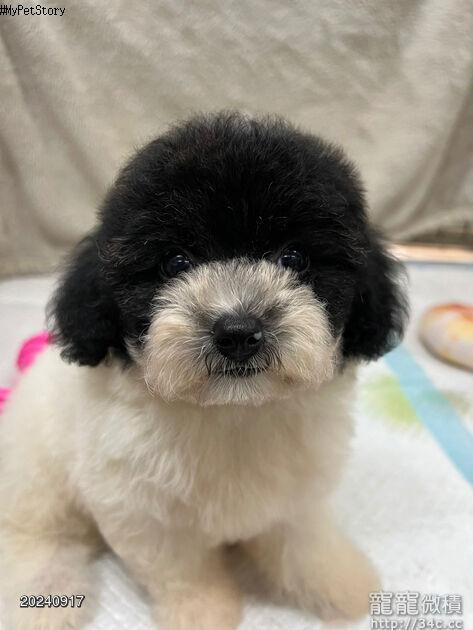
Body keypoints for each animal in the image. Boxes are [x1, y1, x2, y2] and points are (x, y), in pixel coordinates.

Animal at [0, 112, 407, 630]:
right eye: (176, 262)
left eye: (294, 258)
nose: (238, 331)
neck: (232, 411)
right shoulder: (142, 512)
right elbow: (181, 570)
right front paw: (202, 612)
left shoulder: (296, 495)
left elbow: (303, 543)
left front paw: (340, 582)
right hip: (35, 476)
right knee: (33, 535)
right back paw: (41, 596)